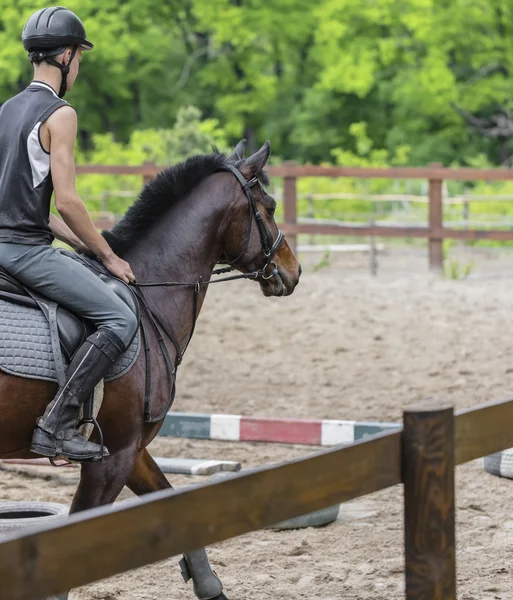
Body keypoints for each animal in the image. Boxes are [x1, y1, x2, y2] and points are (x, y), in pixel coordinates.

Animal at [0, 141, 300, 600]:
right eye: (267, 208)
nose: (293, 270)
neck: (148, 293)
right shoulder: (111, 457)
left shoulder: (133, 450)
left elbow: (176, 508)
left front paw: (210, 586)